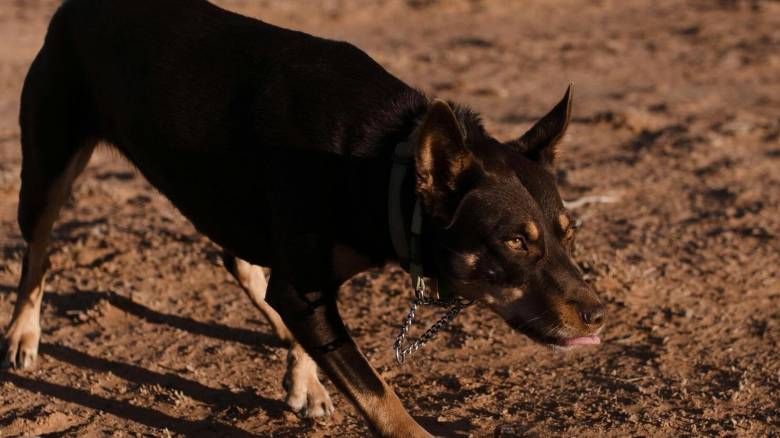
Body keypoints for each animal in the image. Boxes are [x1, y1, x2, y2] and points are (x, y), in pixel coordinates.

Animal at [1, 0, 604, 434]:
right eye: (515, 241)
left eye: (569, 234)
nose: (599, 315)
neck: (382, 164)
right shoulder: (304, 284)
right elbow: (380, 395)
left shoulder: (300, 278)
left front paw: (305, 375)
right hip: (48, 169)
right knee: (38, 254)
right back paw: (23, 335)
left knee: (245, 268)